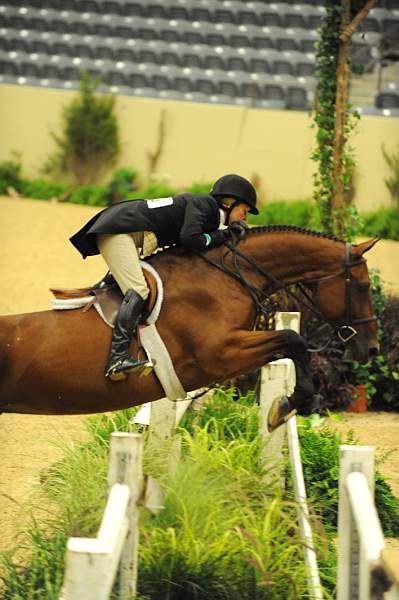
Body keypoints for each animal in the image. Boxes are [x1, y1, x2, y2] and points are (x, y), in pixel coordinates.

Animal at [0, 225, 380, 426]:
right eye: (363, 286)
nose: (372, 348)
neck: (230, 276)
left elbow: (288, 344)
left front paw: (287, 406)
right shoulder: (222, 355)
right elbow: (292, 339)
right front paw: (286, 406)